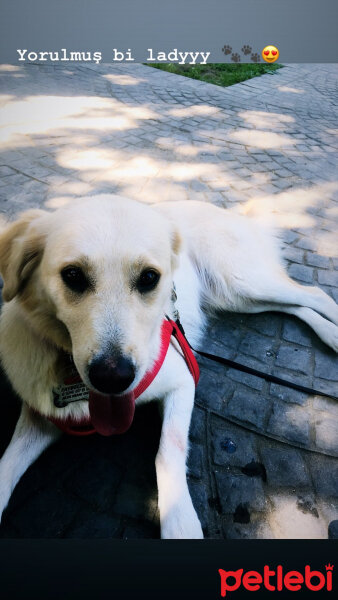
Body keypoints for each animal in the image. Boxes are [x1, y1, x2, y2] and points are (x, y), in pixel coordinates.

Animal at [0, 196, 338, 540]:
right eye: (72, 275)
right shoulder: (39, 419)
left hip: (244, 281)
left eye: (149, 278)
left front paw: (179, 522)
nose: (113, 378)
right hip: (238, 298)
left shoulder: (183, 381)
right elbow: (5, 467)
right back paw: (329, 333)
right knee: (296, 307)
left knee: (315, 294)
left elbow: (167, 452)